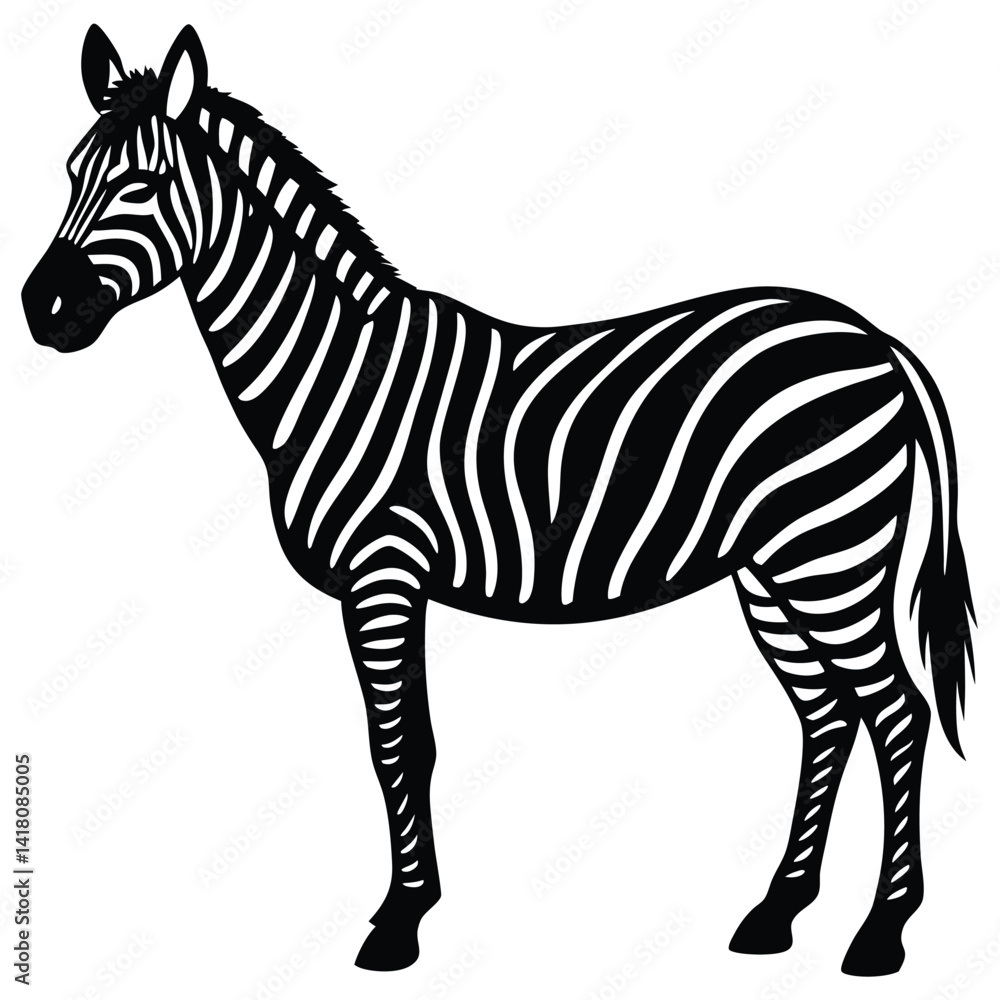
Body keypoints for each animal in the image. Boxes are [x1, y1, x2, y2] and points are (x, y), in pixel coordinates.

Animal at [21, 24, 975, 977]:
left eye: (141, 185)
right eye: (69, 173)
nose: (40, 308)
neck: (335, 372)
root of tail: (874, 337)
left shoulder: (384, 573)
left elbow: (400, 744)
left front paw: (399, 922)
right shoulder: (390, 582)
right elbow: (405, 743)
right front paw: (412, 906)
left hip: (829, 555)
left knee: (897, 712)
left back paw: (881, 932)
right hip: (774, 570)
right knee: (827, 715)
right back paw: (777, 912)